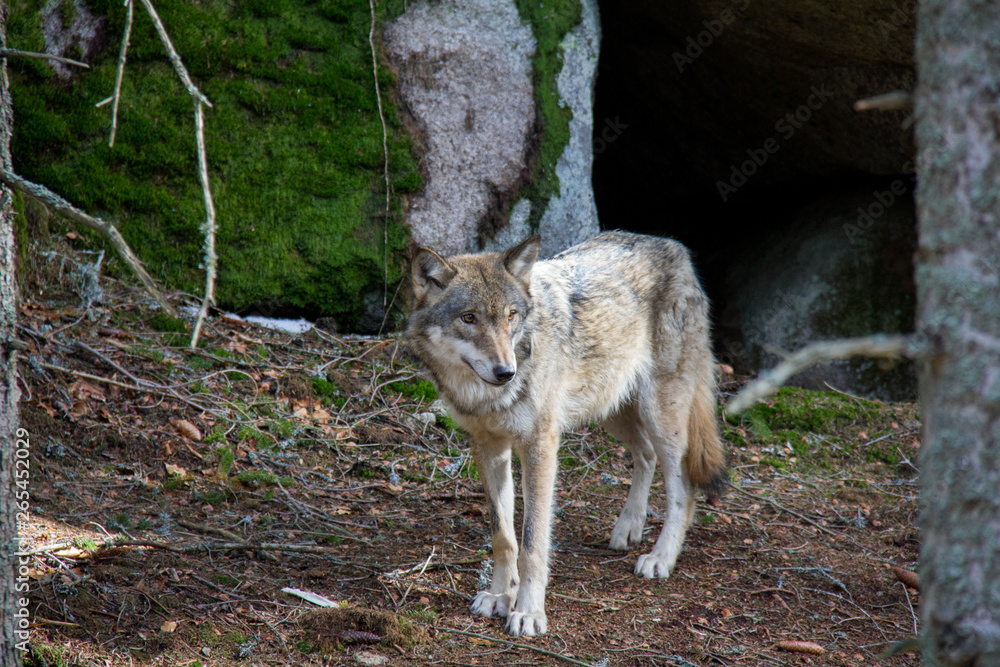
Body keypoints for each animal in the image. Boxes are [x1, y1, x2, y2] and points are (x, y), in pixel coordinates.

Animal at [406, 231, 727, 637]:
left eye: (511, 316)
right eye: (469, 318)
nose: (506, 372)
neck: (487, 397)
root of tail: (674, 247)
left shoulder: (539, 446)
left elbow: (532, 542)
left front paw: (528, 612)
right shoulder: (489, 448)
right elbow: (503, 537)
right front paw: (500, 596)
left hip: (660, 414)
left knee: (682, 486)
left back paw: (660, 558)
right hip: (612, 410)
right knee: (645, 455)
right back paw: (628, 527)